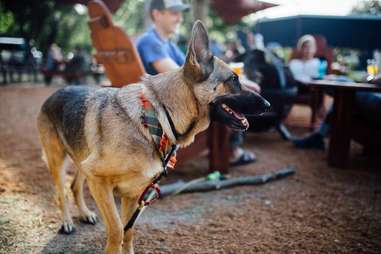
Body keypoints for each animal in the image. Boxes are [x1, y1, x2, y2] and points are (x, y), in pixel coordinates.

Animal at [35, 20, 268, 253]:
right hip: (59, 162)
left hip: (82, 160)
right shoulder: (100, 182)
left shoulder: (132, 193)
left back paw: (84, 213)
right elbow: (117, 230)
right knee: (61, 192)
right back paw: (67, 221)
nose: (267, 105)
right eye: (234, 79)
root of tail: (57, 91)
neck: (156, 120)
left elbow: (128, 231)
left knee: (74, 187)